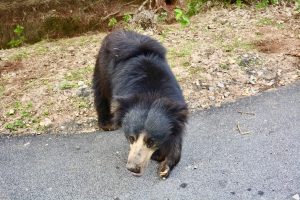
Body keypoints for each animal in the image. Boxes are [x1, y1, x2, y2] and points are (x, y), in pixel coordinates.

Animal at [92, 30, 189, 178]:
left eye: (151, 141)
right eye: (131, 138)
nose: (133, 168)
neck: (151, 94)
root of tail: (117, 31)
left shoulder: (176, 113)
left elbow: (175, 140)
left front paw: (164, 166)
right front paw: (159, 157)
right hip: (103, 66)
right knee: (101, 91)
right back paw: (107, 124)